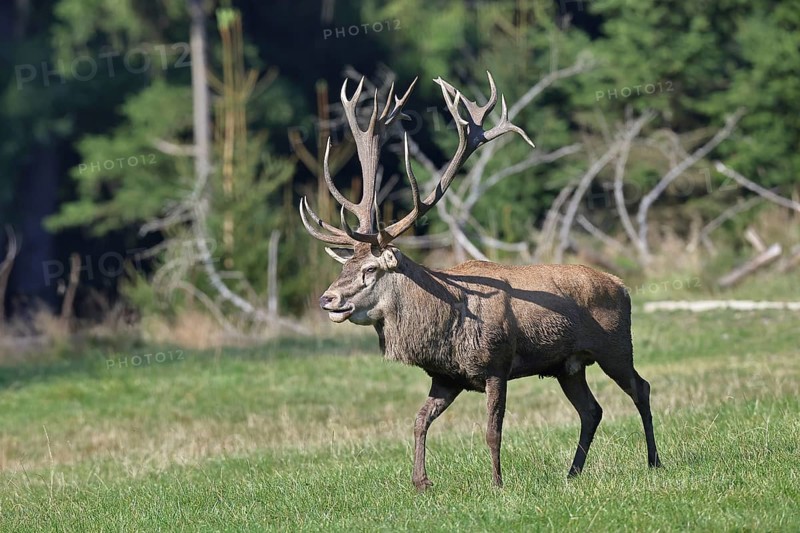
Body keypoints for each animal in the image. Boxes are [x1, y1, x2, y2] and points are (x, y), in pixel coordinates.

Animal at [299, 72, 661, 490]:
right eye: (344, 267)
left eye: (370, 269)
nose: (327, 299)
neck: (444, 321)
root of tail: (622, 285)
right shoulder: (446, 376)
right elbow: (418, 420)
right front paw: (420, 482)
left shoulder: (495, 364)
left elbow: (493, 430)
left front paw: (497, 483)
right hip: (568, 365)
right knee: (592, 409)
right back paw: (572, 472)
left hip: (615, 346)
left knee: (640, 387)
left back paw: (654, 461)